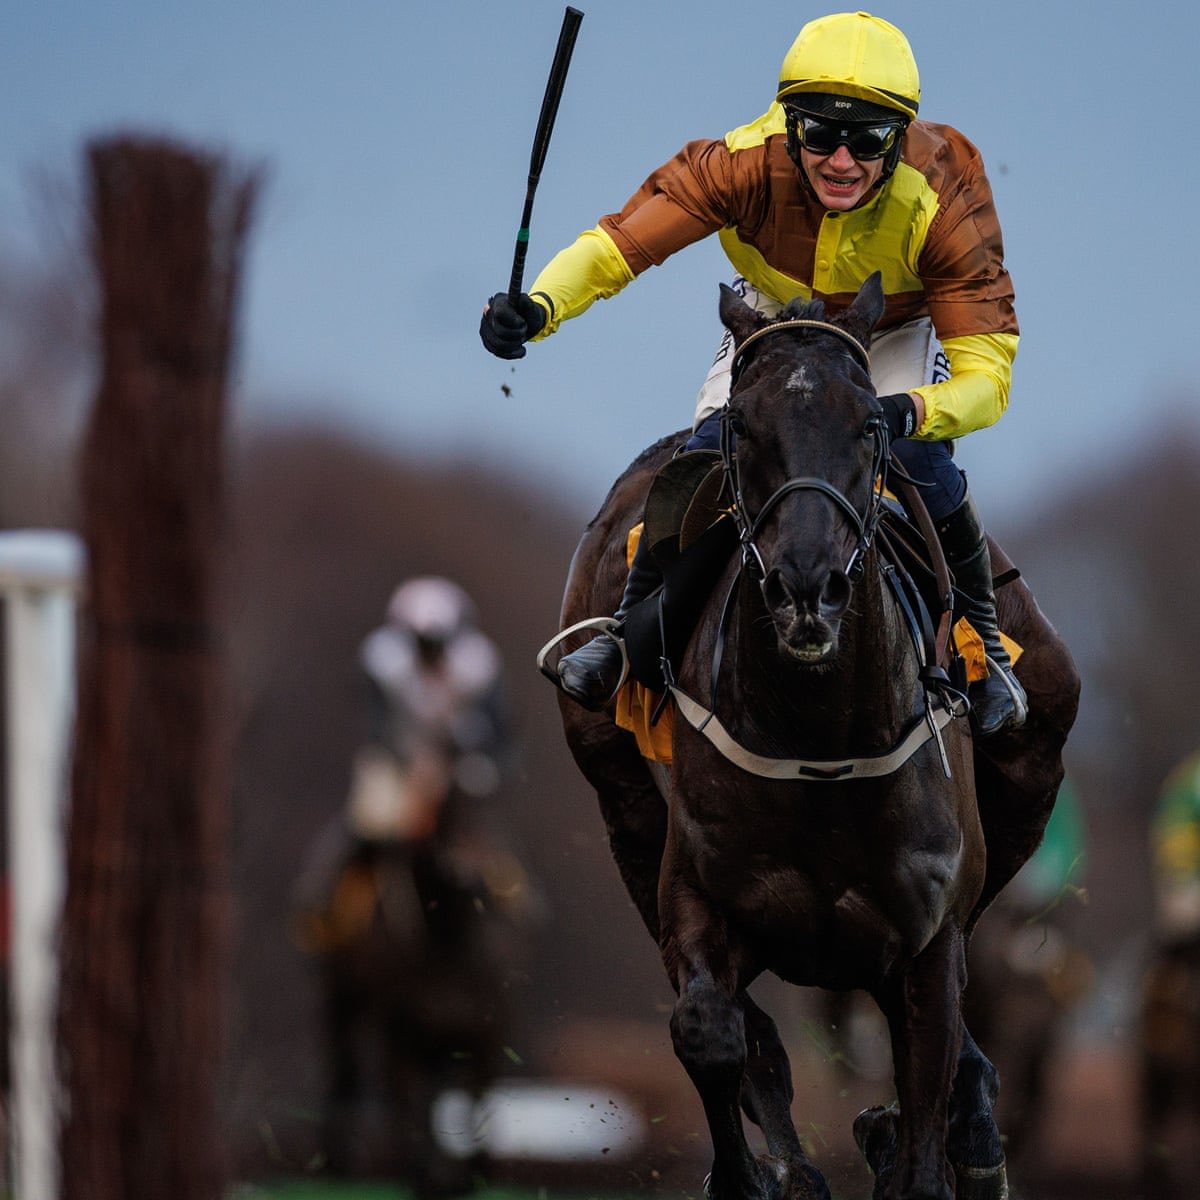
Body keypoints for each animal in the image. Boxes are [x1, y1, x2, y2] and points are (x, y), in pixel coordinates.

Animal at [550, 274, 1080, 1200]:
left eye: (871, 426)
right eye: (742, 426)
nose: (807, 589)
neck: (822, 739)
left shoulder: (929, 941)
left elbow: (929, 1101)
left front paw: (932, 1135)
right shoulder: (694, 895)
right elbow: (714, 1035)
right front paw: (759, 1176)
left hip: (1033, 757)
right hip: (623, 806)